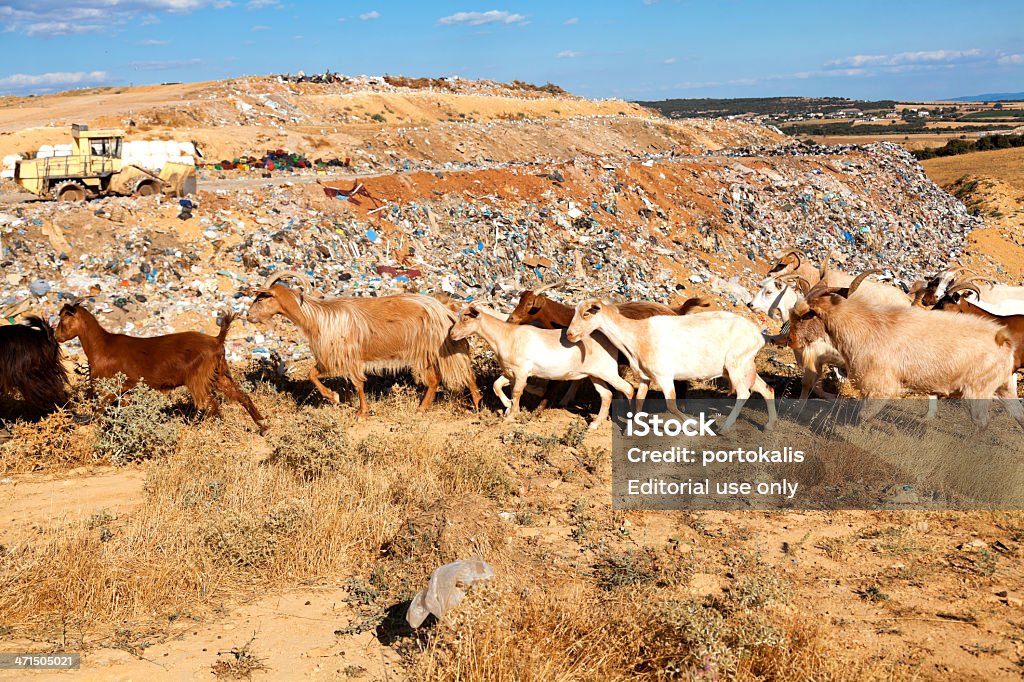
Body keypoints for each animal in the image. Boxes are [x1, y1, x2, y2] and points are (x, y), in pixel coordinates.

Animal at [55, 301, 268, 432]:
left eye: (63, 319)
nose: (57, 336)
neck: (102, 346)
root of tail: (217, 340)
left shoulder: (106, 387)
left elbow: (99, 412)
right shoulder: (126, 391)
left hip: (197, 378)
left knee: (208, 404)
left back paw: (198, 429)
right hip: (220, 373)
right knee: (240, 396)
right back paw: (263, 426)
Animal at [245, 270, 481, 413]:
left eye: (261, 298)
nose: (248, 316)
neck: (318, 317)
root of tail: (444, 310)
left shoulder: (344, 357)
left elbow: (353, 383)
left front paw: (354, 409)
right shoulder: (339, 359)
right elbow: (314, 374)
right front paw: (336, 398)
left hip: (440, 347)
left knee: (461, 371)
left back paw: (476, 404)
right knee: (435, 380)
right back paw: (422, 409)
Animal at [454, 303, 634, 425]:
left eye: (465, 317)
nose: (452, 334)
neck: (506, 336)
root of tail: (609, 341)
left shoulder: (521, 371)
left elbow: (517, 391)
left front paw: (511, 414)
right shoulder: (510, 372)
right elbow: (496, 385)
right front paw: (507, 405)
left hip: (608, 371)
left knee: (628, 389)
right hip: (595, 374)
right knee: (606, 394)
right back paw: (595, 424)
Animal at [561, 301, 774, 430]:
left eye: (587, 313)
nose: (569, 334)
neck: (637, 333)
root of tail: (758, 335)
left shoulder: (664, 376)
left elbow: (671, 405)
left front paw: (695, 425)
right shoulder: (645, 376)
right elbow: (639, 400)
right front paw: (633, 428)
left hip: (735, 365)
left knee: (744, 393)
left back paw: (724, 428)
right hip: (742, 368)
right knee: (767, 389)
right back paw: (769, 425)